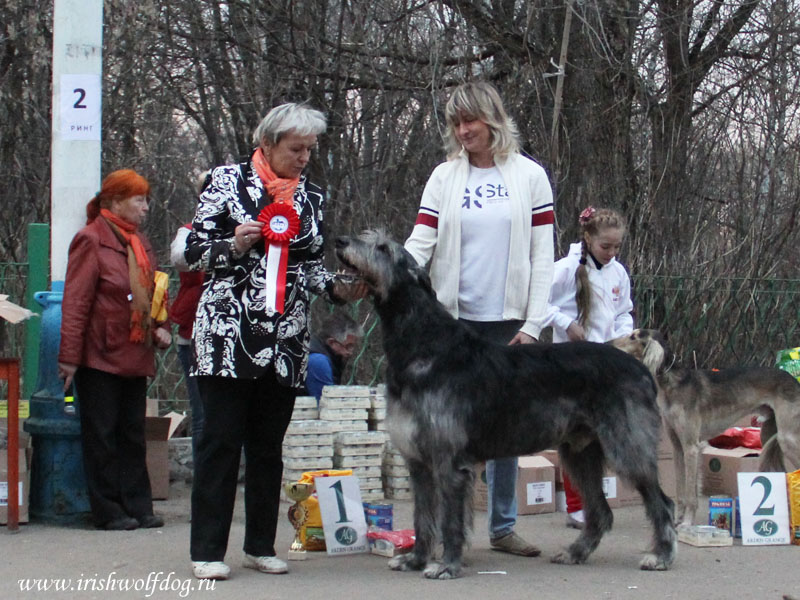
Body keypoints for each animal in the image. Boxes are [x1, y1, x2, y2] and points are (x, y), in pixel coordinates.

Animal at [612, 328, 800, 524]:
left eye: (633, 337)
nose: (609, 343)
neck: (674, 383)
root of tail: (793, 379)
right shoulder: (677, 447)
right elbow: (681, 489)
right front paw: (678, 519)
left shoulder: (691, 447)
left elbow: (690, 492)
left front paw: (687, 522)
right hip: (769, 434)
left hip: (787, 438)